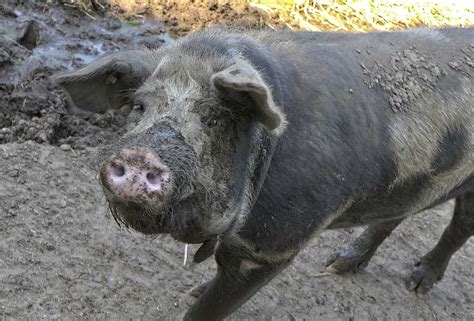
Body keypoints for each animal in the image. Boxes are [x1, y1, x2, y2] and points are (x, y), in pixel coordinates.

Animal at [52, 28, 474, 320]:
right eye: (139, 107)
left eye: (215, 119)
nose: (141, 155)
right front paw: (195, 290)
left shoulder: (273, 247)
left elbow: (209, 310)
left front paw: (196, 300)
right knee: (396, 215)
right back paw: (337, 265)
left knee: (458, 228)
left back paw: (417, 284)